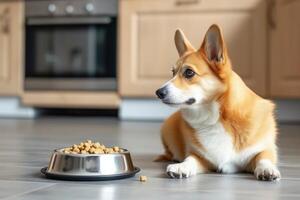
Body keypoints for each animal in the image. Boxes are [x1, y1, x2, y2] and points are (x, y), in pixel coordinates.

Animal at [156, 24, 280, 181]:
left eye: (189, 72)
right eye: (172, 72)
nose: (158, 92)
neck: (216, 117)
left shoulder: (265, 148)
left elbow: (263, 157)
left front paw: (267, 169)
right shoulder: (200, 158)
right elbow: (190, 159)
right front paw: (181, 167)